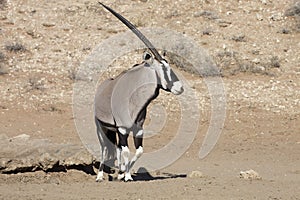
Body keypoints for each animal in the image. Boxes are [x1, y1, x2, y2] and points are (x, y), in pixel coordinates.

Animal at [95, 2, 184, 182]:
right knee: (104, 148)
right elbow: (126, 151)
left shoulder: (137, 129)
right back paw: (100, 175)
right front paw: (126, 175)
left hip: (113, 131)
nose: (180, 88)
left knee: (116, 148)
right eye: (163, 68)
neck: (134, 98)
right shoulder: (122, 129)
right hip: (101, 128)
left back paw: (118, 171)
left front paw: (124, 173)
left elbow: (138, 151)